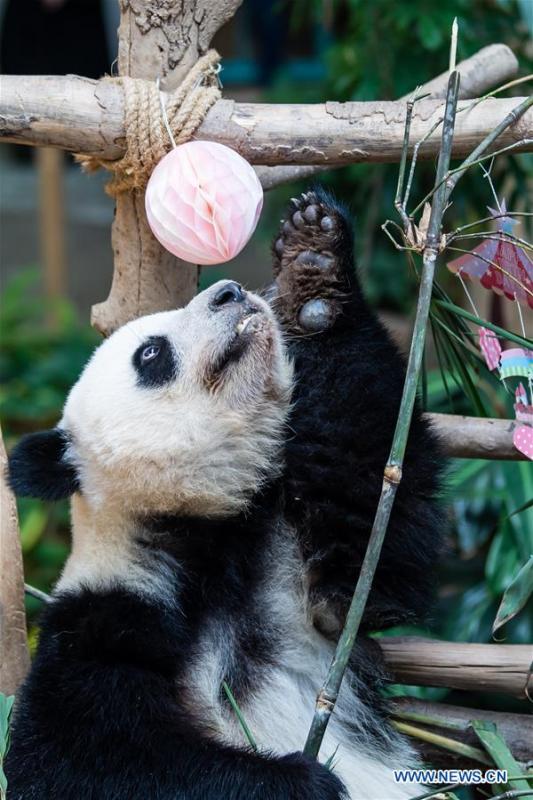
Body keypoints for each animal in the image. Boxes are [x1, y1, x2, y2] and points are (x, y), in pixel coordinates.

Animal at [6, 189, 444, 800]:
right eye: (151, 353)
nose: (229, 292)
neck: (202, 531)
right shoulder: (101, 624)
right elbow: (76, 761)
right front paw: (299, 778)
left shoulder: (295, 571)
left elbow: (377, 534)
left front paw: (315, 270)